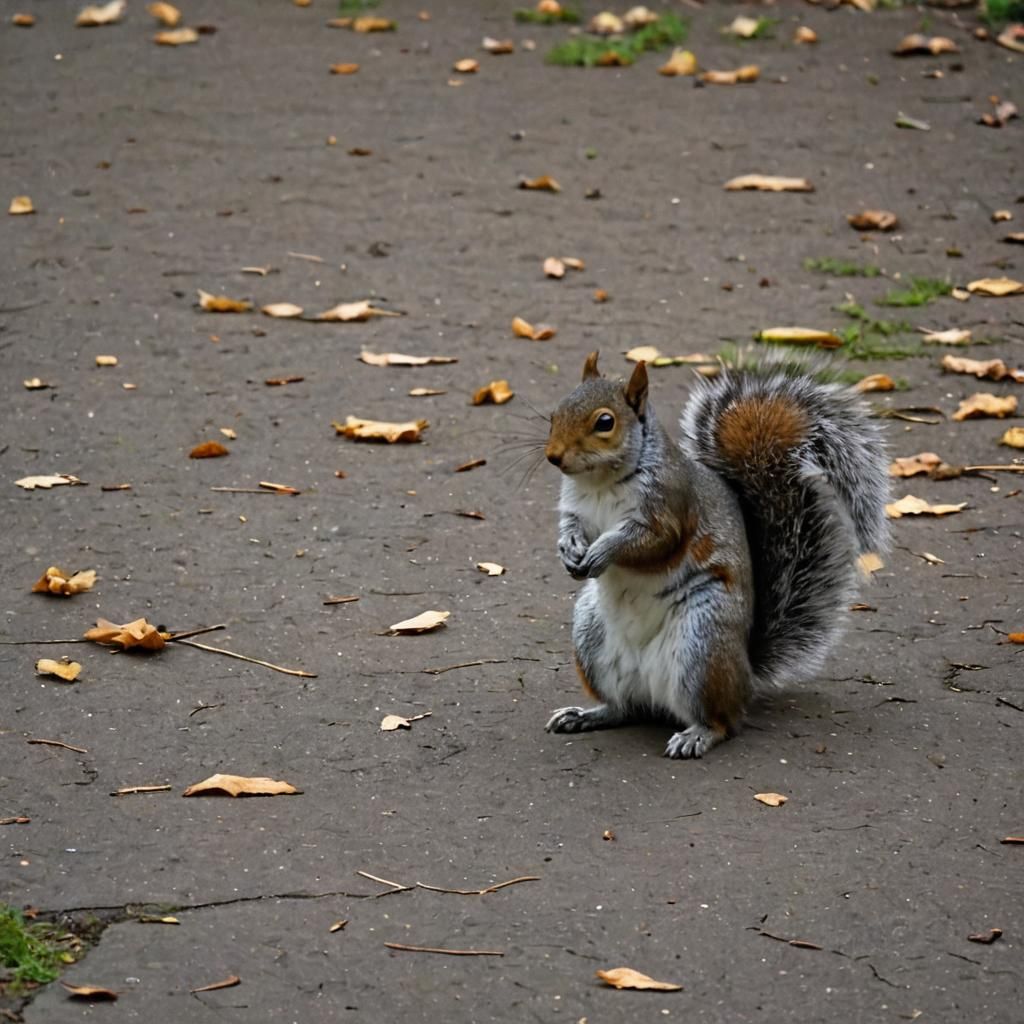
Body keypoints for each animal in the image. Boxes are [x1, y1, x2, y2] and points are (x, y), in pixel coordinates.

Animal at [544, 351, 889, 758]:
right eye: (556, 412)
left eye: (605, 422)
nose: (553, 457)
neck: (600, 482)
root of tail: (745, 675)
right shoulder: (574, 509)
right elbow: (569, 527)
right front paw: (568, 550)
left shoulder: (669, 509)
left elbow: (651, 543)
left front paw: (602, 552)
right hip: (591, 635)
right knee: (626, 708)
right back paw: (586, 714)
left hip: (702, 645)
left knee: (725, 721)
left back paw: (697, 734)